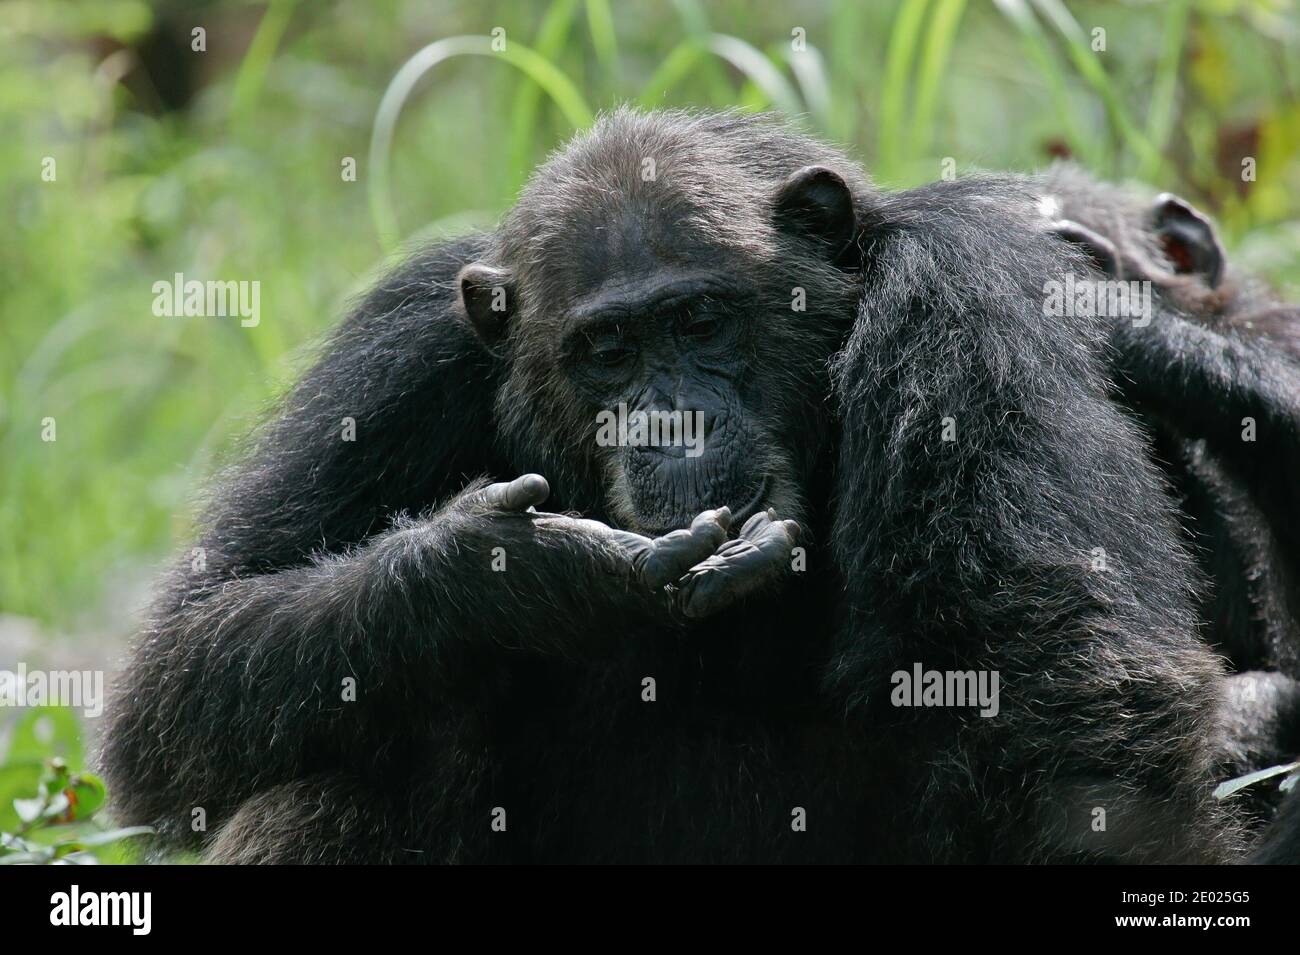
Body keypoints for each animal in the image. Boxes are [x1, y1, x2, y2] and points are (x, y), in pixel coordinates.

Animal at [106, 108, 1253, 862]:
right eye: (607, 351)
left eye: (701, 320)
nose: (670, 420)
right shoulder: (401, 352)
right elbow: (180, 666)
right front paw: (521, 574)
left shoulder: (964, 302)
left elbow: (1062, 698)